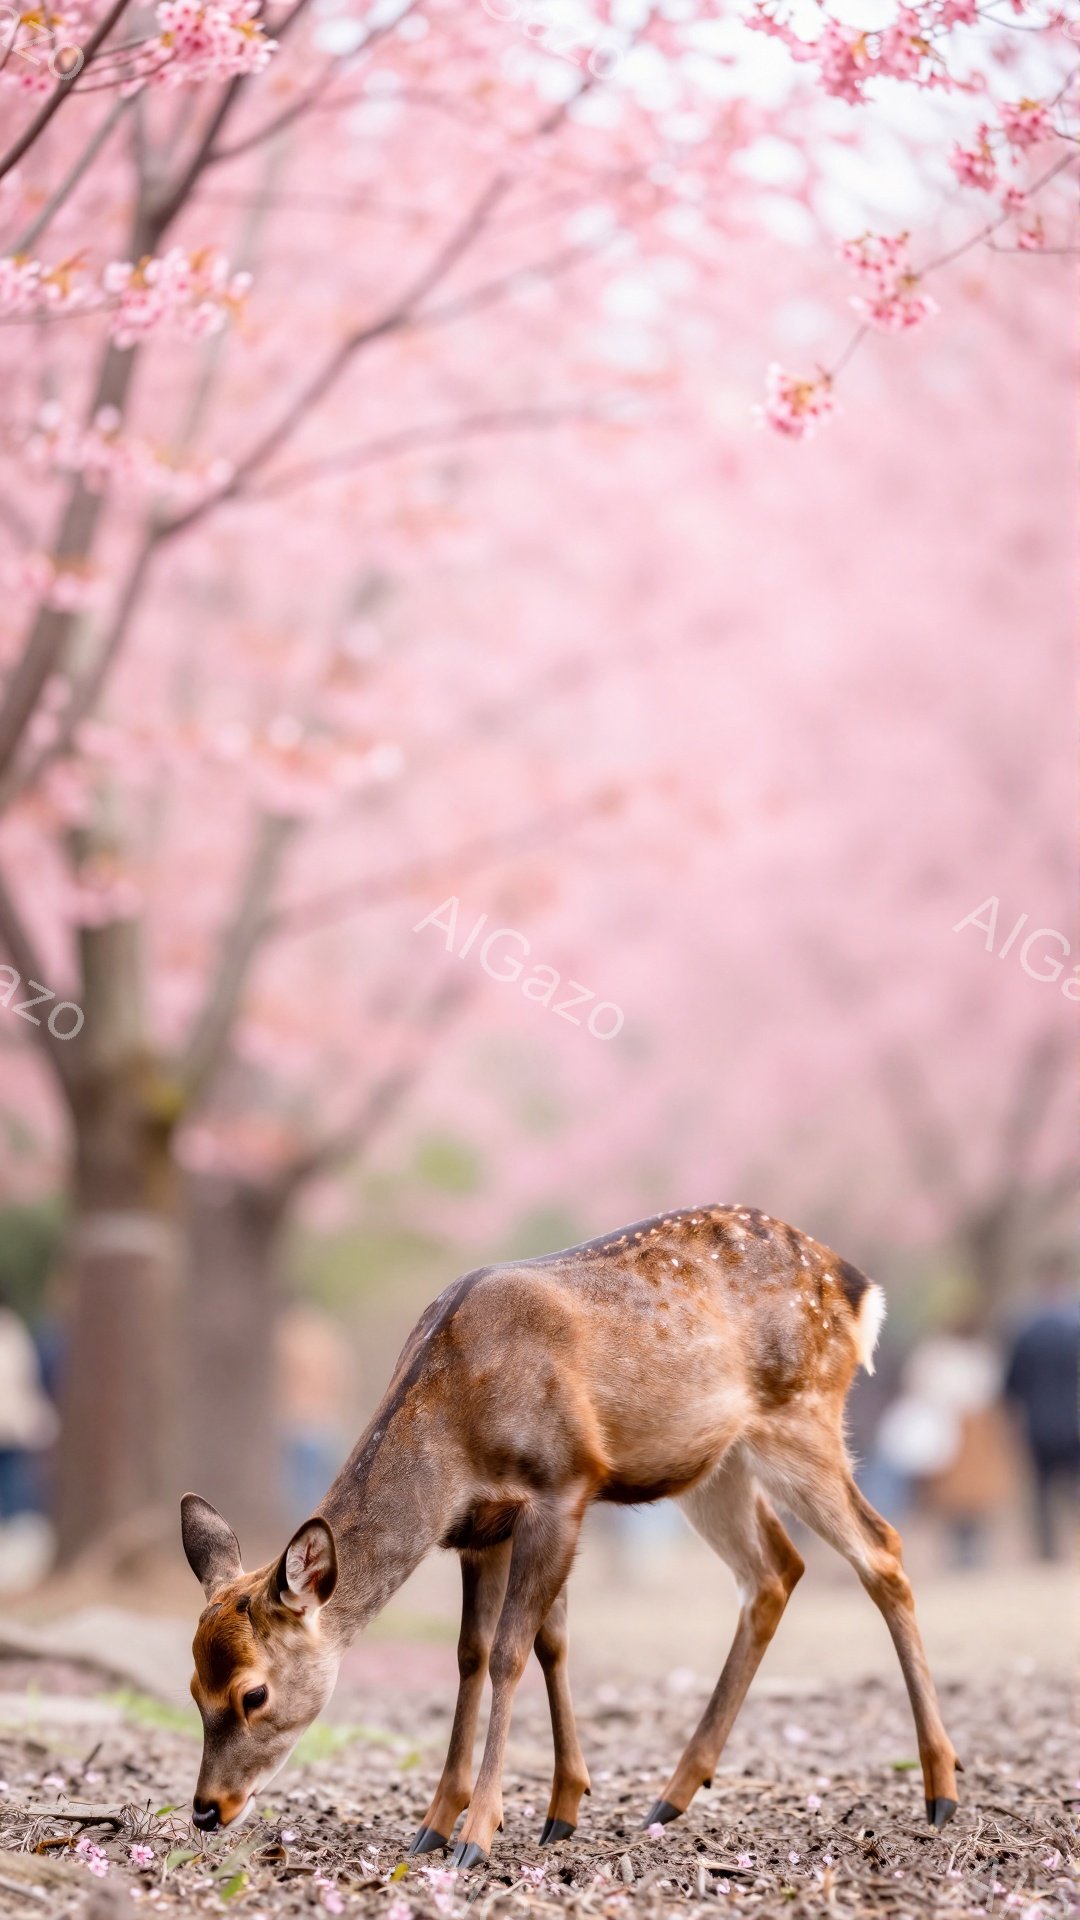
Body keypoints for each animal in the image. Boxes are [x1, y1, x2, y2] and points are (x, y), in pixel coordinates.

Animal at [181, 1201, 961, 1868]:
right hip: (717, 1465)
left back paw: (941, 1789)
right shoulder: (480, 1529)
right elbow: (484, 1653)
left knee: (881, 1549)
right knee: (775, 1569)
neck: (457, 1426)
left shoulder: (562, 1486)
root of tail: (857, 1286)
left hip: (802, 1415)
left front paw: (478, 1833)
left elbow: (510, 1653)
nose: (206, 1810)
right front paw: (465, 1819)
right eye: (192, 1687)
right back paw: (672, 1795)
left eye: (254, 1694)